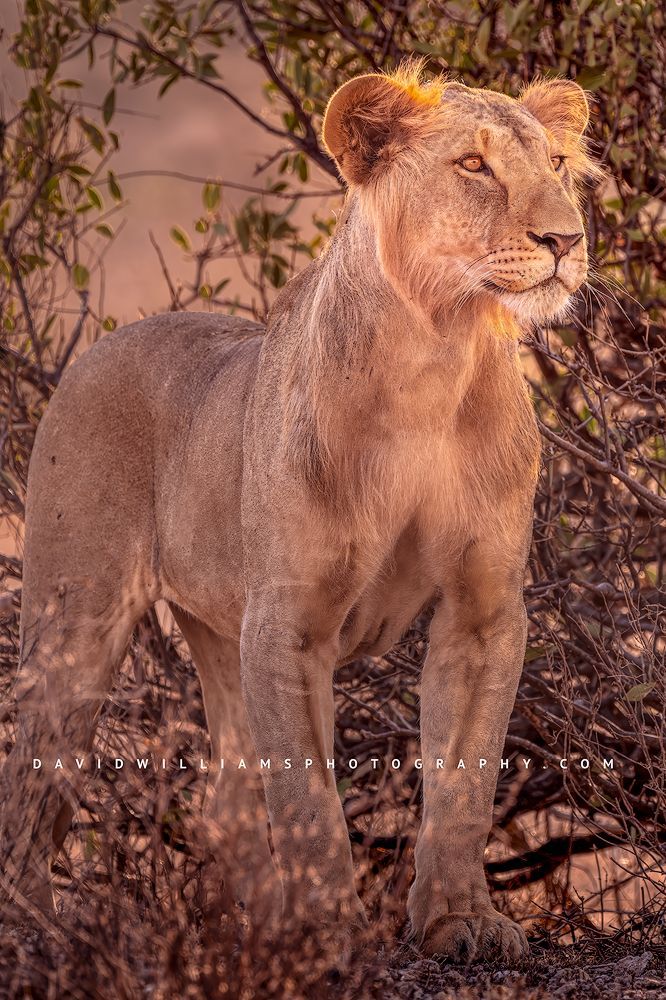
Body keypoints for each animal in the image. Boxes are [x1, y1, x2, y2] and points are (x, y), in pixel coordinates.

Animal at [0, 65, 598, 962]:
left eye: (557, 162)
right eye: (473, 165)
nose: (567, 239)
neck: (434, 359)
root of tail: (103, 343)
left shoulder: (484, 613)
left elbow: (464, 780)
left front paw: (461, 919)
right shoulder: (287, 624)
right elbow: (310, 800)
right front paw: (328, 936)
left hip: (217, 635)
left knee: (229, 798)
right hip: (73, 629)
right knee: (36, 775)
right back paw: (37, 929)